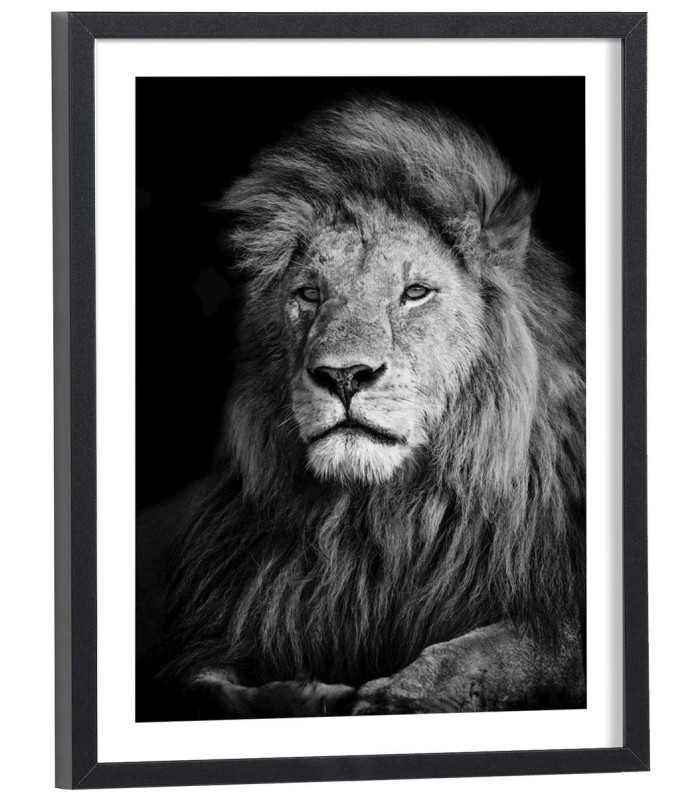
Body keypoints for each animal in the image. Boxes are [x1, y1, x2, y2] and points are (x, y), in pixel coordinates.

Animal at [138, 95, 586, 720]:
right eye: (309, 294)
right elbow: (207, 689)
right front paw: (306, 695)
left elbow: (489, 652)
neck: (376, 522)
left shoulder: (554, 618)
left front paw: (391, 697)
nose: (343, 375)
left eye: (415, 292)